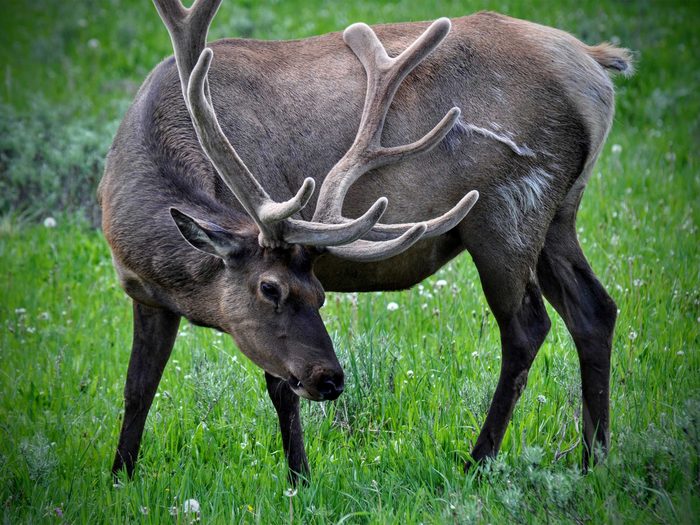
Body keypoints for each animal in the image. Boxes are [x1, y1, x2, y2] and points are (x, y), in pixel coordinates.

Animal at [98, 0, 631, 484]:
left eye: (319, 293)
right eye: (270, 289)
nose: (331, 379)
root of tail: (595, 68)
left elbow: (280, 390)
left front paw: (300, 480)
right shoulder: (146, 297)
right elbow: (137, 388)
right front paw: (120, 475)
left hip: (508, 212)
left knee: (526, 327)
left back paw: (479, 462)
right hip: (558, 214)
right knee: (595, 309)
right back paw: (594, 458)